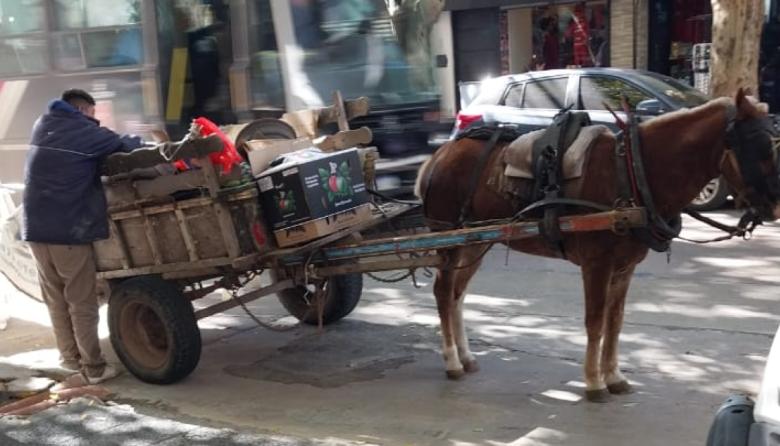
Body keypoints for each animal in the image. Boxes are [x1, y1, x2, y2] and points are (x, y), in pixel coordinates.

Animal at [416, 89, 780, 402]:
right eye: (757, 144)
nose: (775, 207)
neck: (631, 173)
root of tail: (440, 155)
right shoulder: (596, 264)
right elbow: (594, 321)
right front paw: (593, 382)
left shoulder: (624, 268)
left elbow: (614, 322)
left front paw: (614, 376)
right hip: (448, 240)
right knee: (443, 293)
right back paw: (451, 361)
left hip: (474, 244)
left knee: (457, 294)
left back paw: (465, 356)